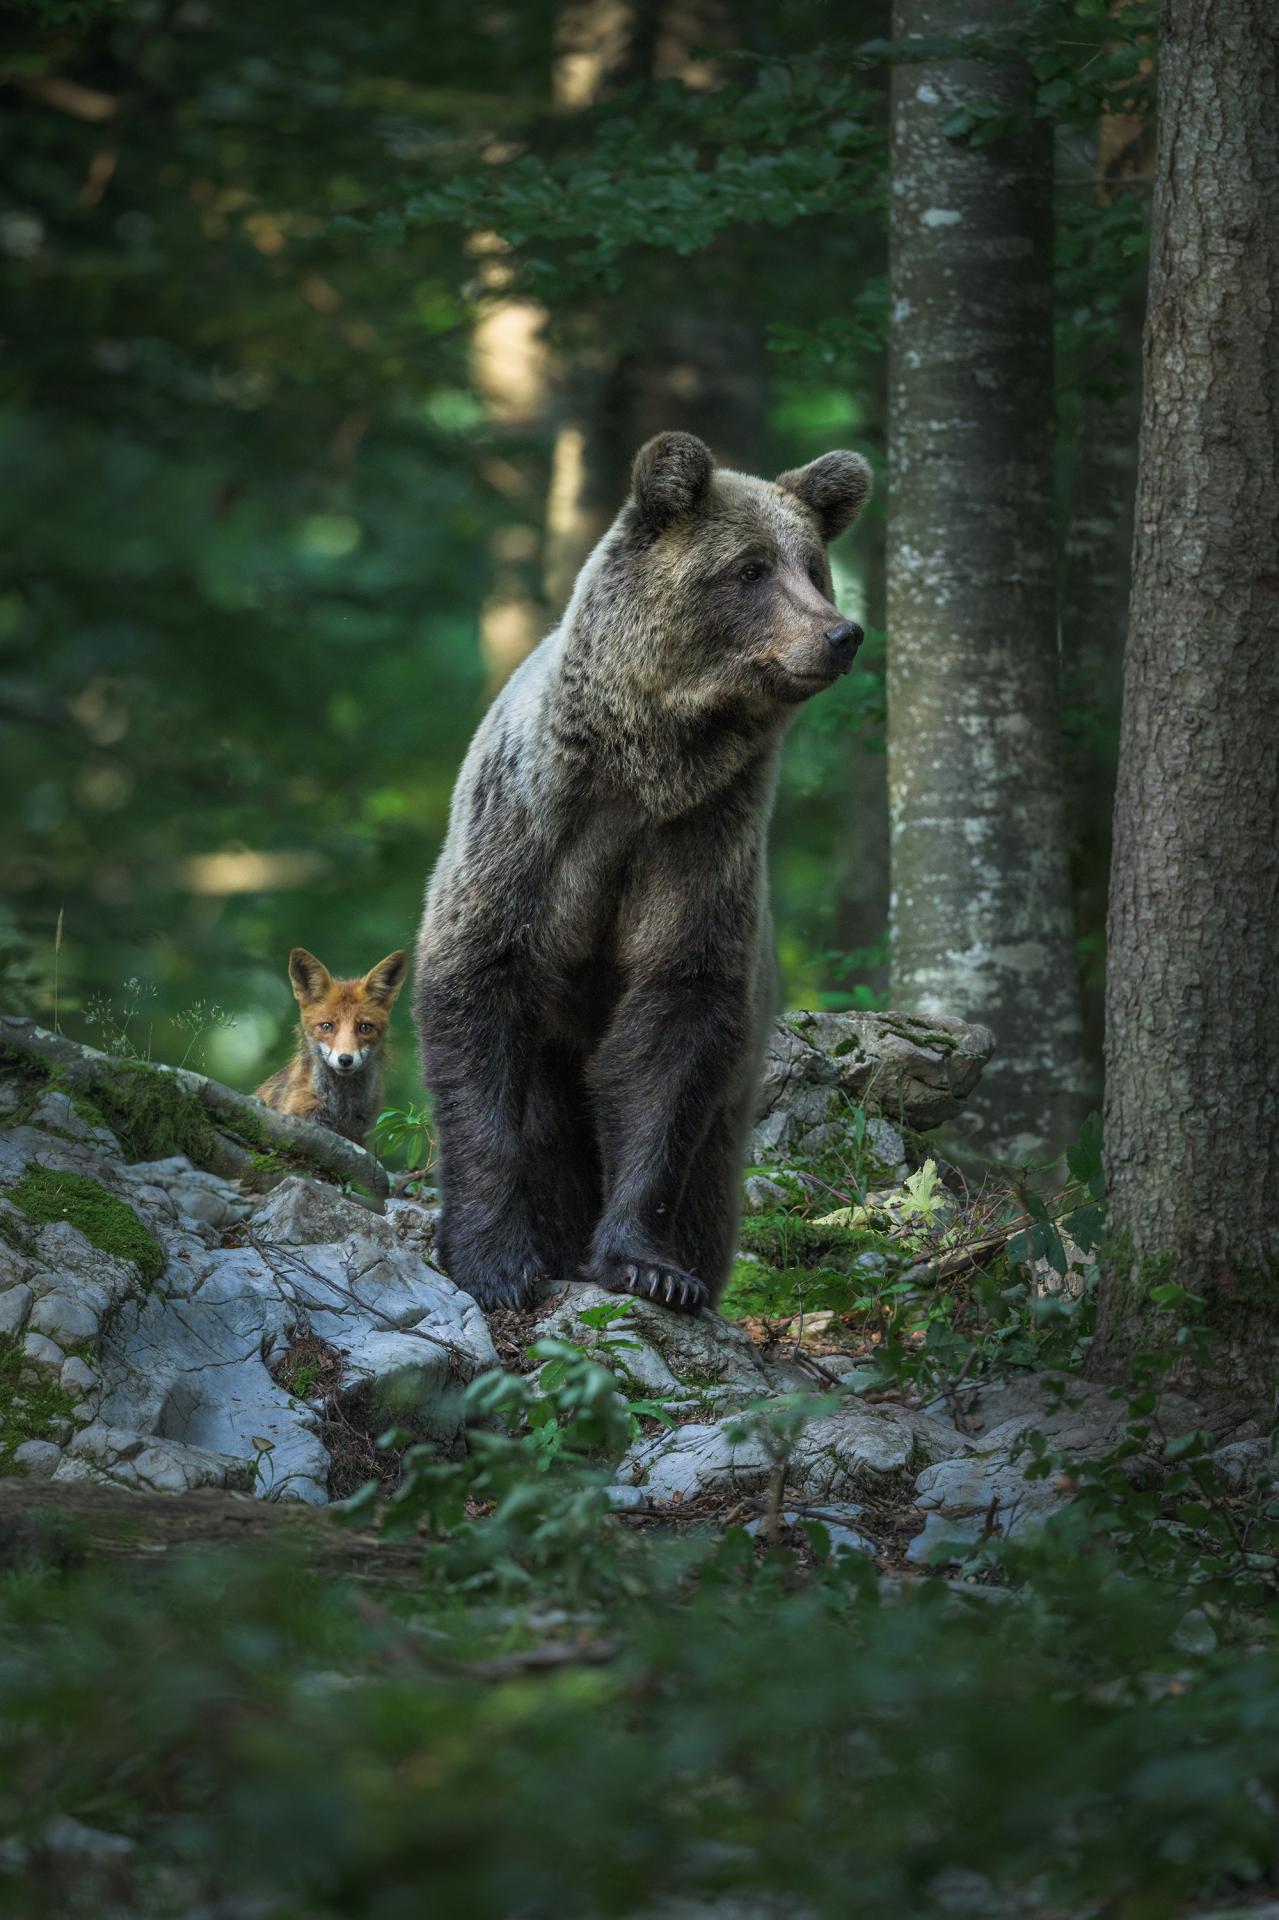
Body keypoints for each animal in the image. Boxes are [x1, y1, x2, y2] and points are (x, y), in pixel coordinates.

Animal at [412, 430, 871, 1313]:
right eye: (750, 568)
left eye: (812, 567)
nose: (841, 634)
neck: (647, 766)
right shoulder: (529, 833)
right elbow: (477, 999)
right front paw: (495, 1259)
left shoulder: (703, 844)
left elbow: (672, 1028)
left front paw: (650, 1266)